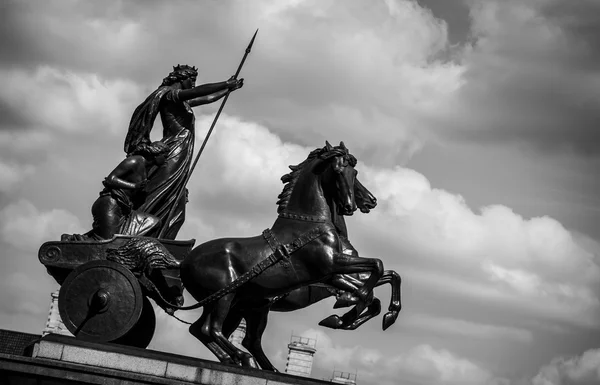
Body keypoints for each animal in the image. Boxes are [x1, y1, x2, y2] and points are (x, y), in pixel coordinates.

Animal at [179, 141, 384, 366]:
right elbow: (378, 268)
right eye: (338, 170)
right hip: (226, 297)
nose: (356, 204)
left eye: (354, 172)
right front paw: (347, 307)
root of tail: (184, 262)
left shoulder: (332, 275)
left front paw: (345, 314)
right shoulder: (332, 266)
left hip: (227, 302)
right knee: (215, 330)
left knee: (204, 329)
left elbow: (378, 283)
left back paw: (242, 361)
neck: (309, 222)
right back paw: (244, 359)